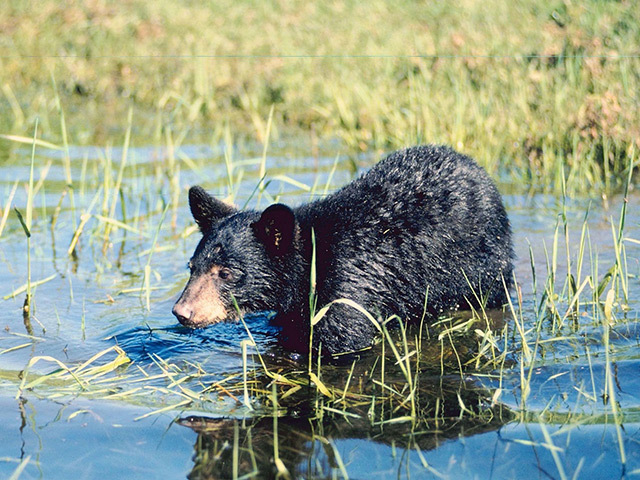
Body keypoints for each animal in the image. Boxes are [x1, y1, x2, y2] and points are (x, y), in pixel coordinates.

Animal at [172, 144, 512, 354]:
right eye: (192, 267)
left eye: (226, 272)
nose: (182, 311)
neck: (309, 265)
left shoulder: (346, 288)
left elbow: (342, 340)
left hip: (482, 267)